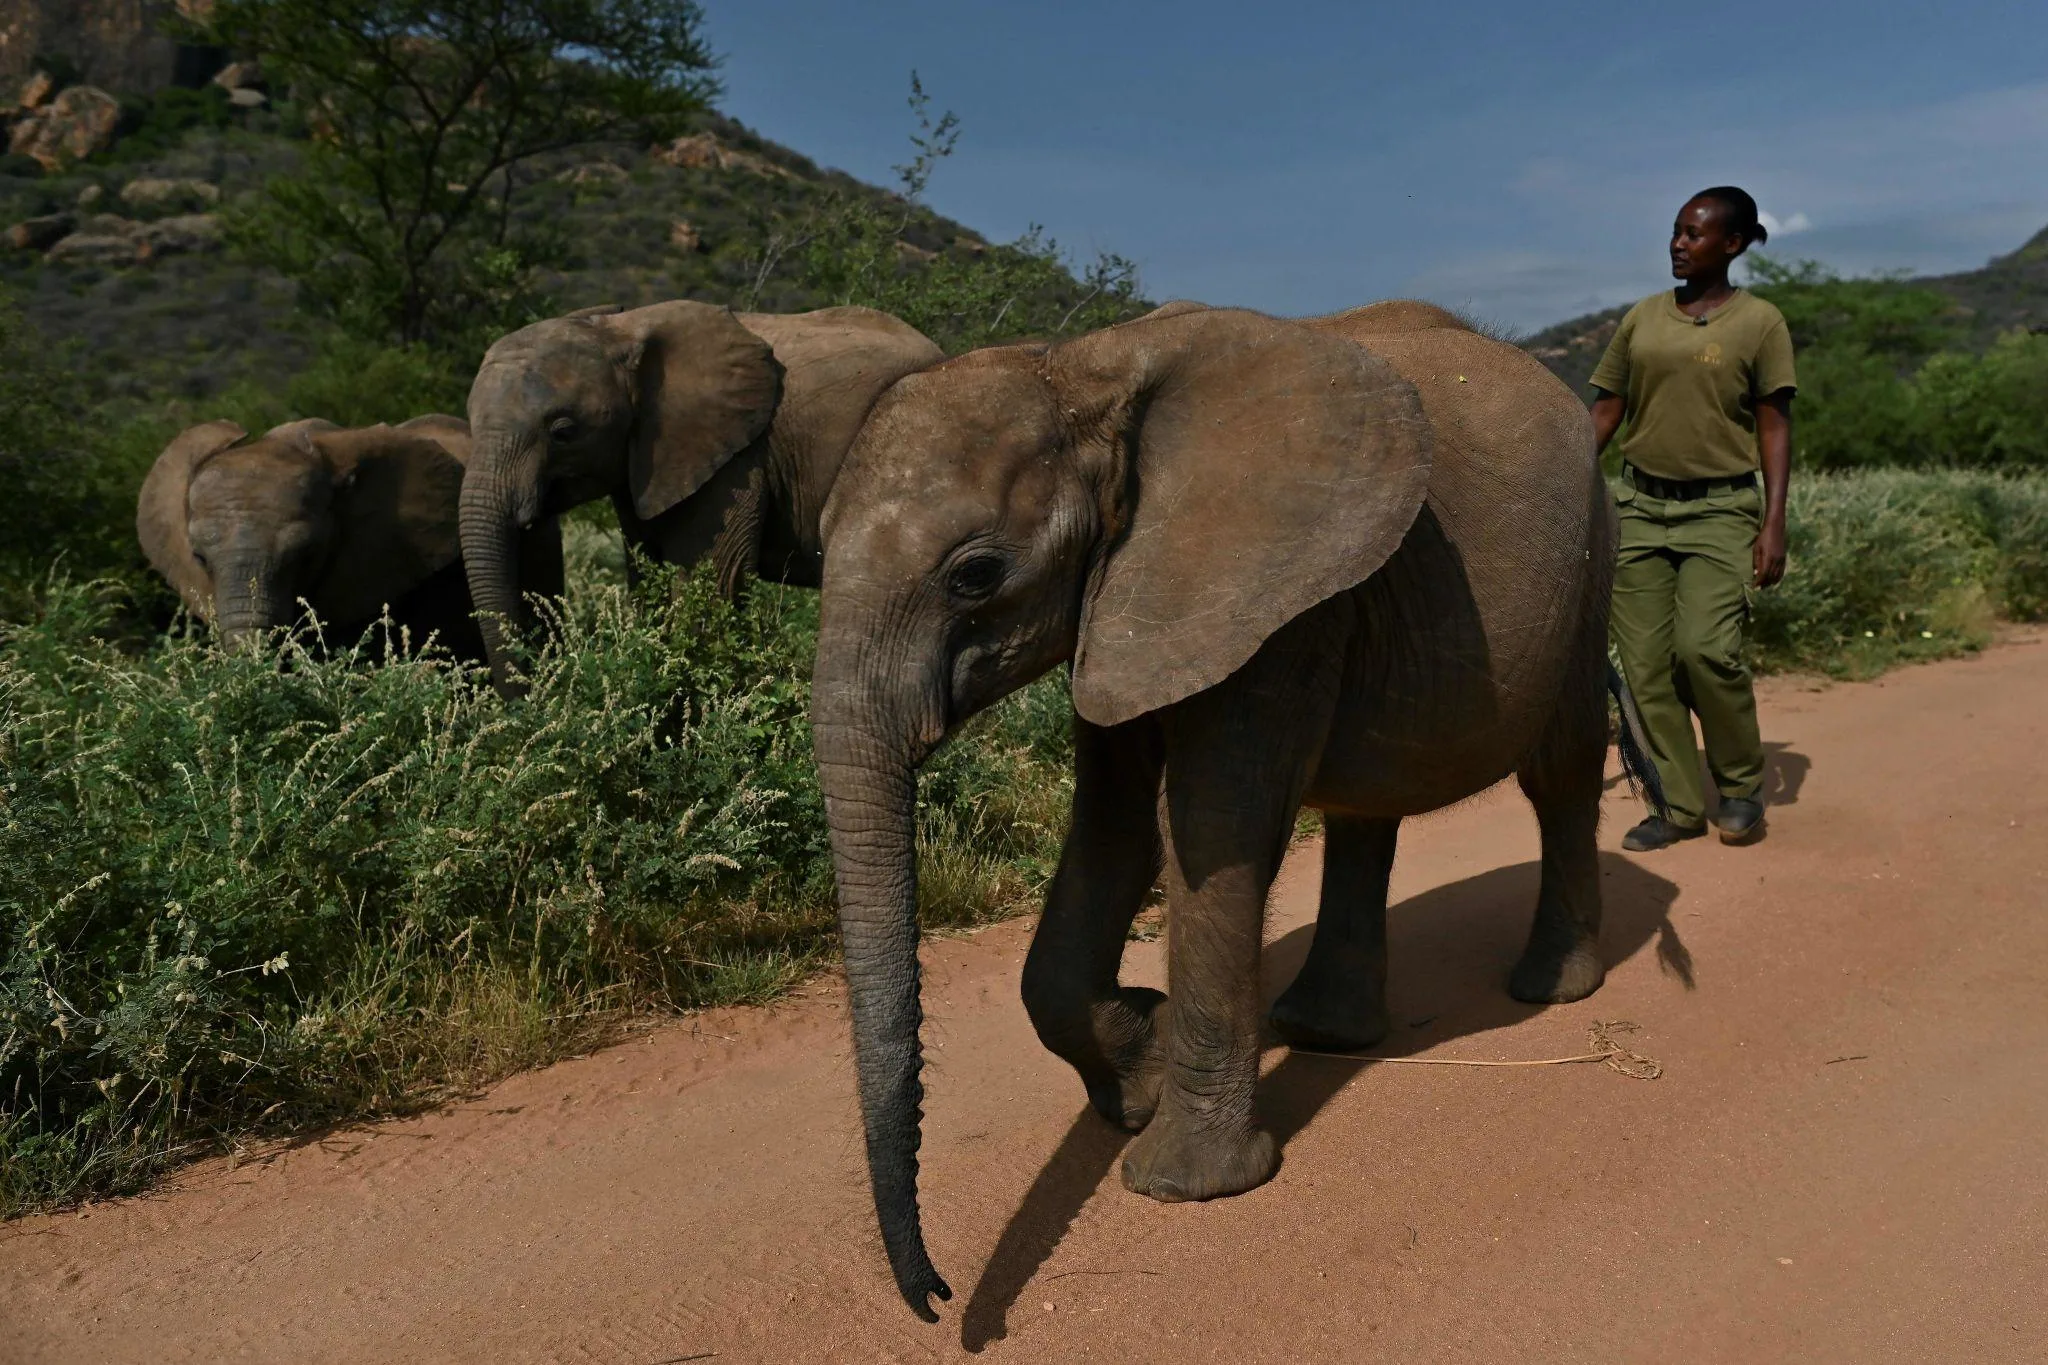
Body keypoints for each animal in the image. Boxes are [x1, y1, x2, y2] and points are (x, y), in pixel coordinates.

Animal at [459, 300, 942, 695]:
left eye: (563, 432)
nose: (527, 695)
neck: (619, 329)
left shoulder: (735, 460)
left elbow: (711, 589)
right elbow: (648, 580)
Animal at [806, 304, 1659, 1319]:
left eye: (975, 574)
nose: (935, 1296)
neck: (1081, 367)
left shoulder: (1271, 597)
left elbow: (1214, 826)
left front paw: (1182, 1179)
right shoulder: (1129, 599)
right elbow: (1112, 827)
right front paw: (1140, 1072)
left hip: (1594, 559)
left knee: (1561, 769)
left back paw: (1549, 988)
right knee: (1368, 807)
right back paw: (1321, 1031)